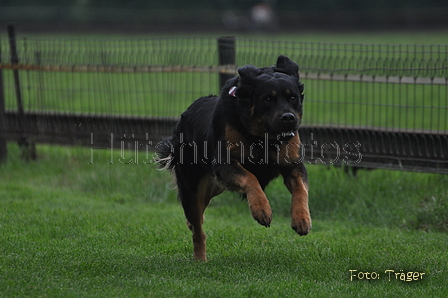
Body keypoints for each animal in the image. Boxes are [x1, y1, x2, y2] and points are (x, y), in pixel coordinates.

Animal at [158, 56, 312, 260]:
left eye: (293, 97)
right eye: (268, 99)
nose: (288, 117)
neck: (261, 137)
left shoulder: (293, 163)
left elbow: (301, 189)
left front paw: (302, 219)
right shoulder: (225, 164)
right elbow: (250, 177)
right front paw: (262, 209)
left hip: (214, 186)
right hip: (193, 188)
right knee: (198, 229)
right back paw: (200, 259)